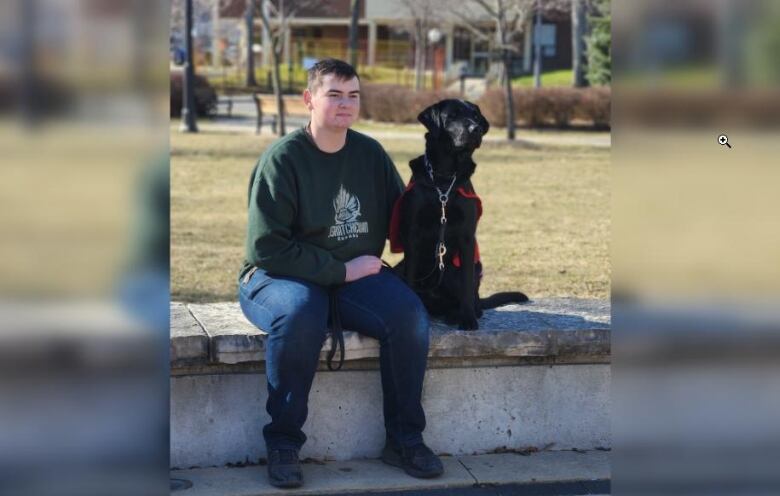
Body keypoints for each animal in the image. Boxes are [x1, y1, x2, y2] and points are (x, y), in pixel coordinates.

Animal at [390, 99, 532, 330]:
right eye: (453, 116)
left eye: (475, 116)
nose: (476, 129)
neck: (444, 178)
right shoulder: (413, 234)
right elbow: (409, 280)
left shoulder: (466, 236)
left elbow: (465, 284)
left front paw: (467, 319)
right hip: (400, 269)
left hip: (461, 270)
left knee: (474, 301)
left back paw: (457, 313)